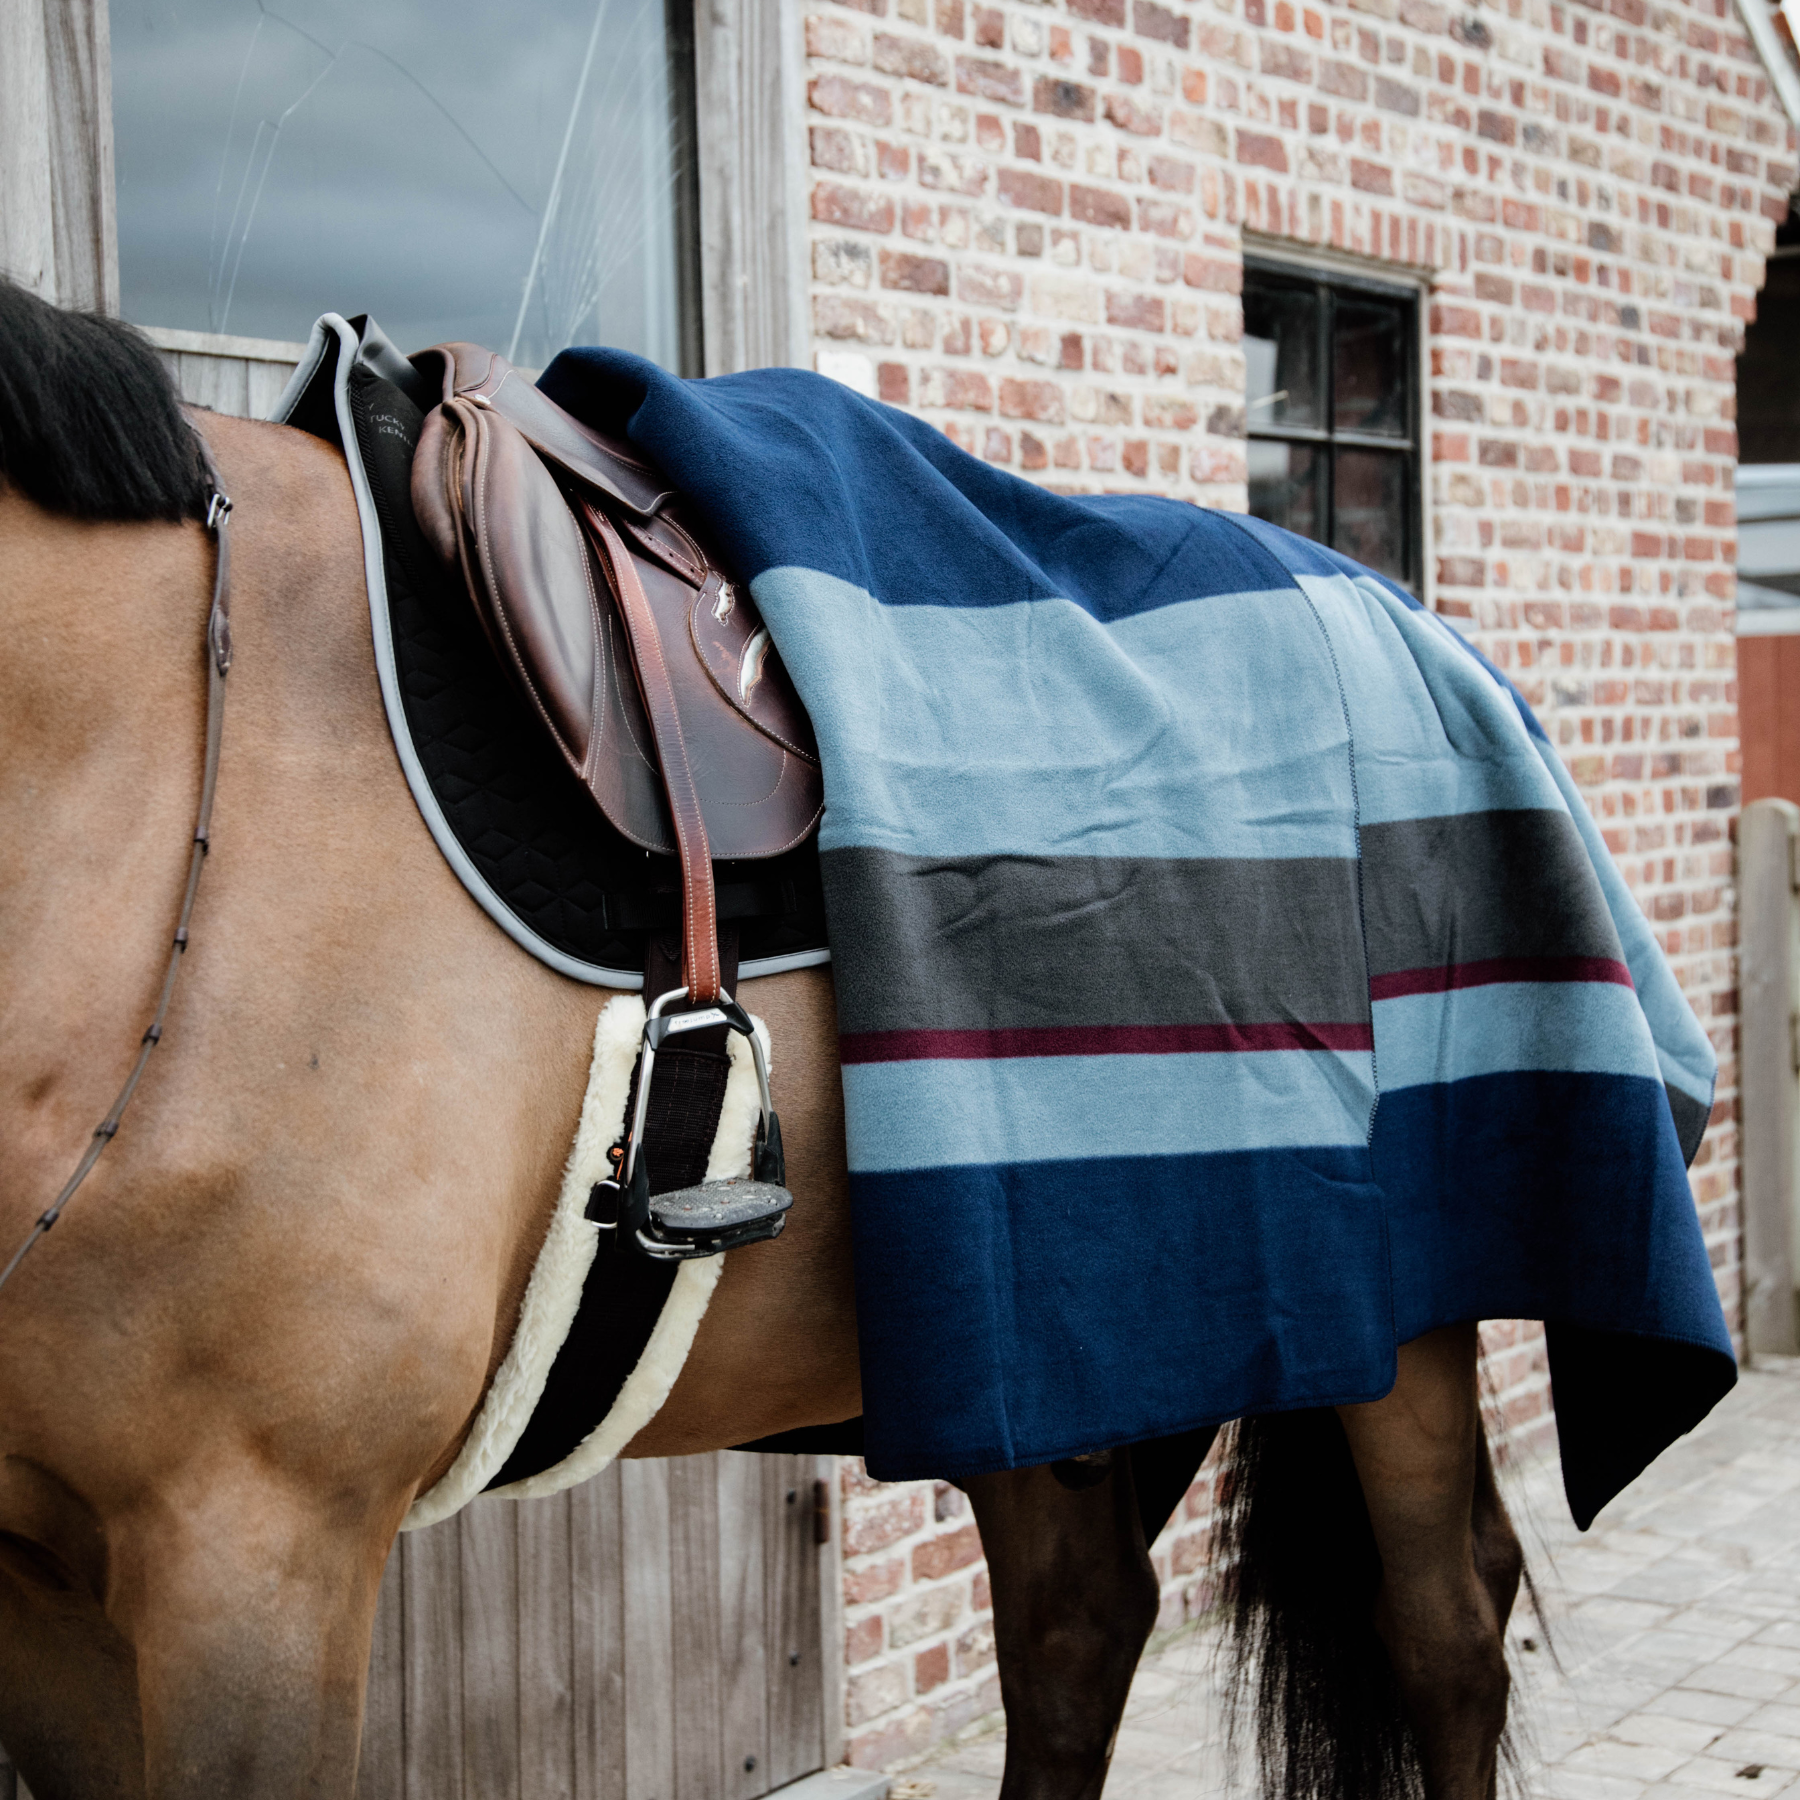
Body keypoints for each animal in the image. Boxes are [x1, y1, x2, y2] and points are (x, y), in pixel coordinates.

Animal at [0, 277, 1519, 1800]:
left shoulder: (265, 1539)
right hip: (1046, 1337)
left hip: (1408, 1313)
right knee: (1079, 1620)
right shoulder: (57, 1578)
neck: (162, 769)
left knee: (1444, 1622)